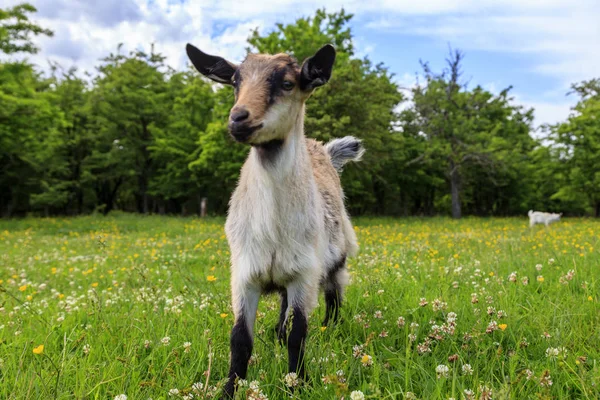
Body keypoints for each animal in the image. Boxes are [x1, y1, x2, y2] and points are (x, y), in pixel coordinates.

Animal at [188, 44, 364, 396]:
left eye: (287, 83)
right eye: (235, 82)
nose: (238, 118)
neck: (272, 226)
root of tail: (323, 149)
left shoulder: (305, 274)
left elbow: (299, 334)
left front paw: (297, 384)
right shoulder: (244, 274)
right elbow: (240, 339)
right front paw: (229, 389)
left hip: (335, 258)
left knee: (334, 296)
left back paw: (330, 328)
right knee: (283, 309)